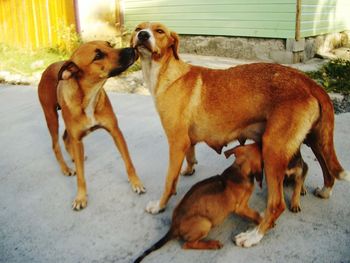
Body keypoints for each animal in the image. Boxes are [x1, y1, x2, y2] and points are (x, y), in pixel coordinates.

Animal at [38, 40, 146, 210]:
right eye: (98, 55)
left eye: (109, 45)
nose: (132, 49)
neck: (89, 96)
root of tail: (48, 68)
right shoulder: (77, 139)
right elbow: (81, 176)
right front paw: (81, 197)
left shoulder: (115, 131)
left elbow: (128, 162)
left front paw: (136, 182)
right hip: (51, 117)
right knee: (56, 145)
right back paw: (66, 168)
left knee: (65, 137)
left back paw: (74, 158)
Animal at [130, 22, 348, 248]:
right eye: (138, 28)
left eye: (159, 31)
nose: (142, 35)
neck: (165, 72)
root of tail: (308, 81)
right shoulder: (186, 141)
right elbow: (190, 155)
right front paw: (189, 169)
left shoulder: (176, 142)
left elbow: (168, 182)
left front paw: (159, 205)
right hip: (315, 139)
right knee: (327, 169)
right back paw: (324, 191)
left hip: (272, 149)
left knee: (277, 204)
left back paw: (253, 236)